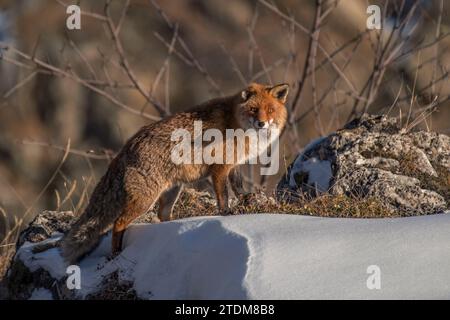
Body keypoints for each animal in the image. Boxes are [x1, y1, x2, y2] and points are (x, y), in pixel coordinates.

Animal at [60, 82, 288, 262]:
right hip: (145, 200)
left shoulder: (234, 165)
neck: (237, 125)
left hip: (171, 192)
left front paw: (246, 201)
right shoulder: (219, 168)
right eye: (254, 109)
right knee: (119, 223)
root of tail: (126, 147)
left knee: (162, 216)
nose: (261, 123)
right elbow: (223, 196)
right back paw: (116, 253)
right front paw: (227, 214)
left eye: (270, 109)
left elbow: (238, 188)